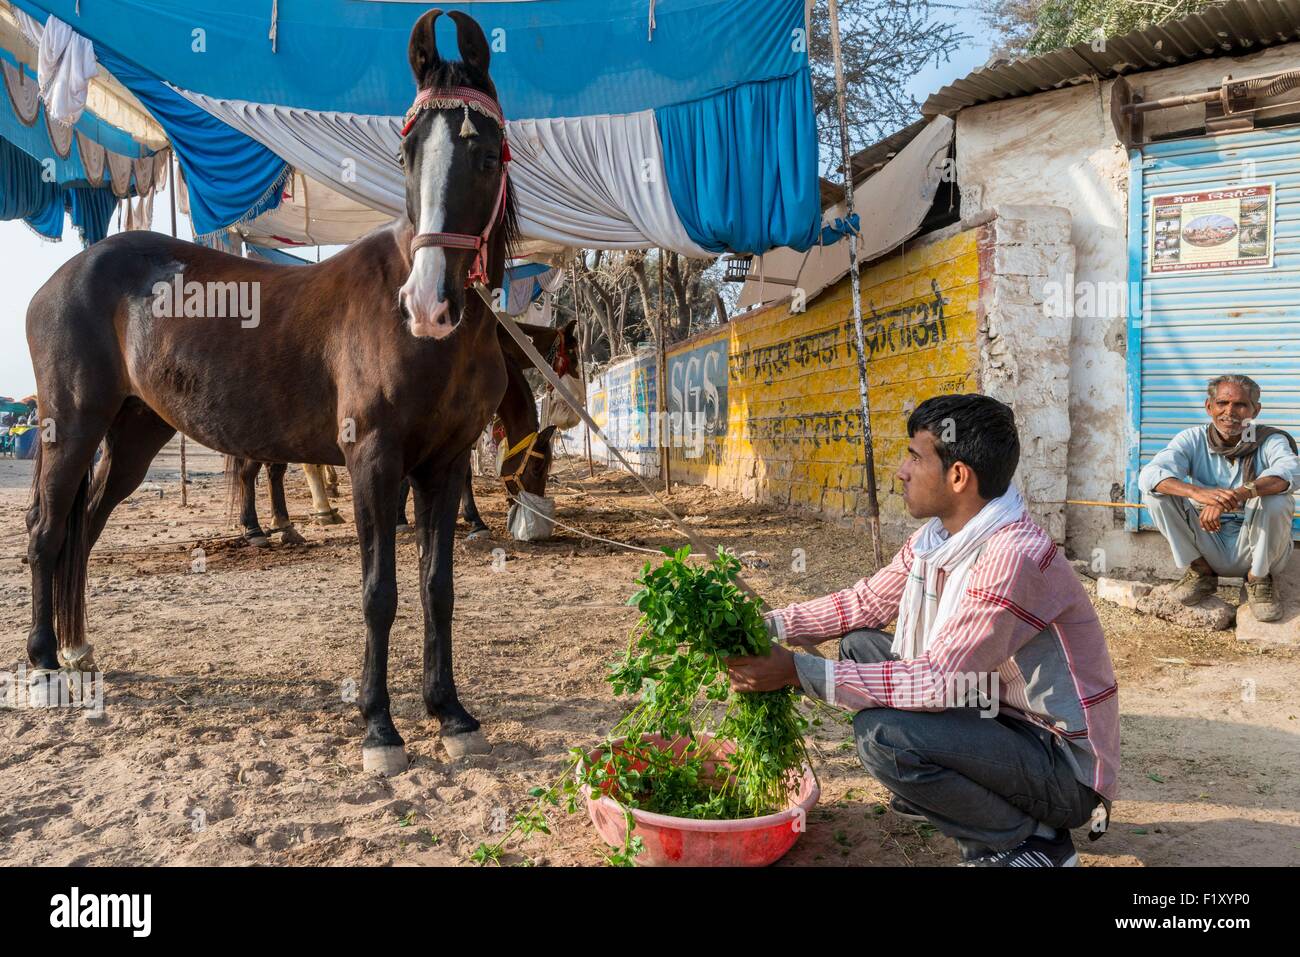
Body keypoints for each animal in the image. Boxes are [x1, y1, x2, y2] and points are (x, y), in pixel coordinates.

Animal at [25, 8, 513, 769]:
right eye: (408, 156)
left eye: (486, 155)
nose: (428, 305)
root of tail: (63, 278)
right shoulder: (373, 461)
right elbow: (380, 592)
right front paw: (380, 727)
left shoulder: (444, 464)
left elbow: (438, 588)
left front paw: (451, 713)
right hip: (70, 427)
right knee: (47, 531)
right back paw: (45, 663)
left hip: (133, 433)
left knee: (88, 524)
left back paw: (77, 649)